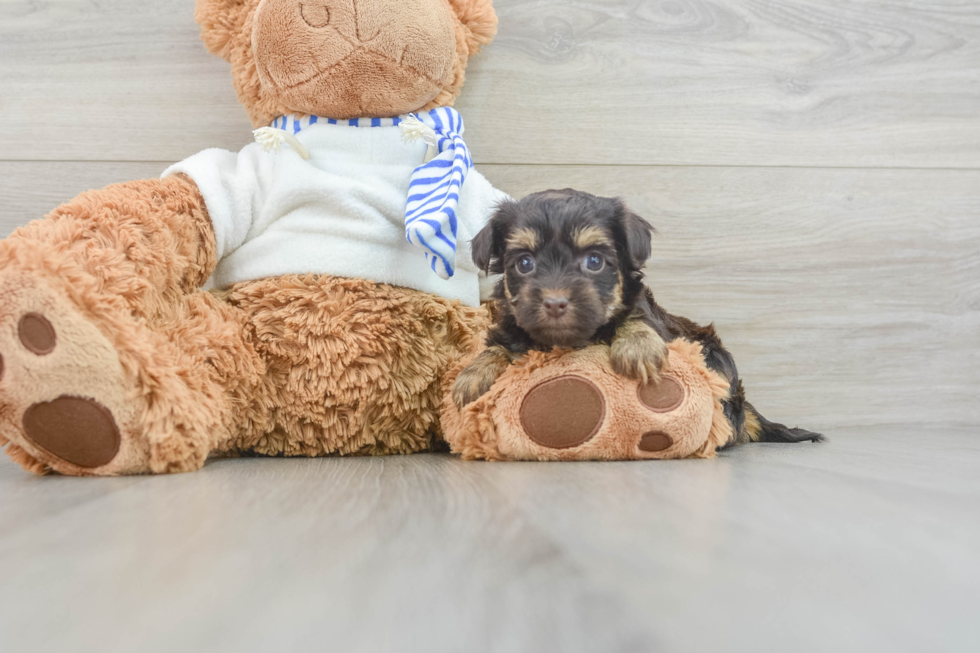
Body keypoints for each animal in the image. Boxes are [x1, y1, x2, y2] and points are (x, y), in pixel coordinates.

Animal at [456, 188, 824, 448]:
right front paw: (473, 376)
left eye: (594, 261)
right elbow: (498, 344)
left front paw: (638, 349)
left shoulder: (647, 315)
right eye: (524, 264)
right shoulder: (512, 324)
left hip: (716, 358)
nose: (555, 303)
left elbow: (635, 318)